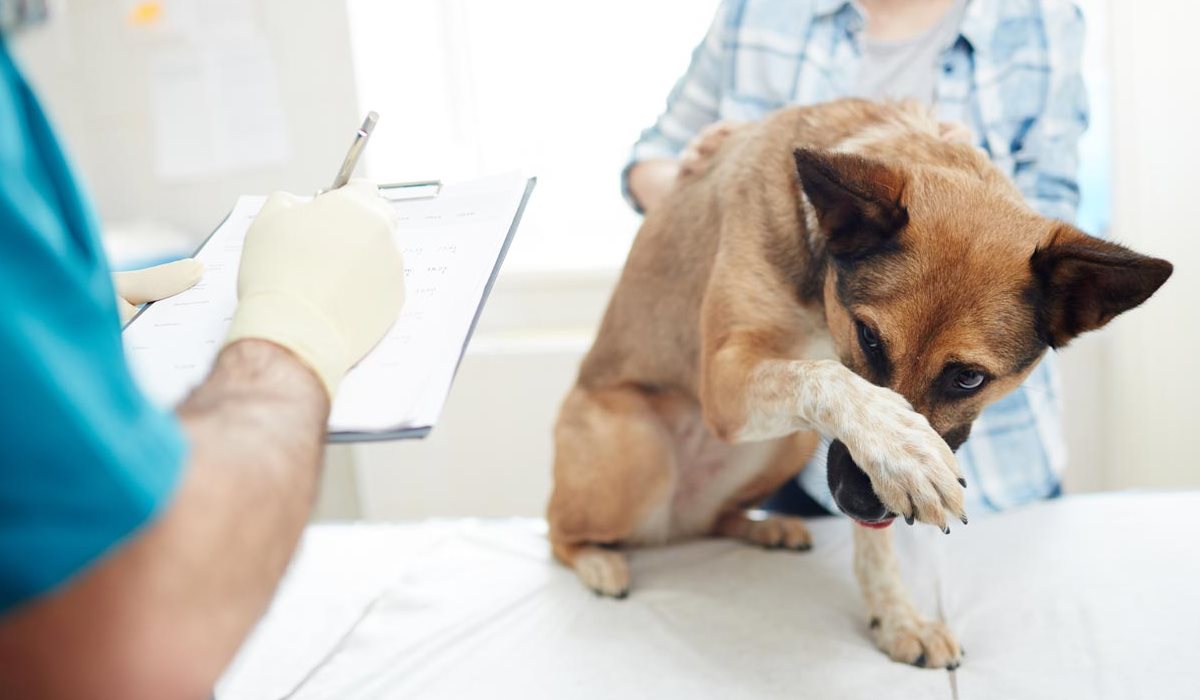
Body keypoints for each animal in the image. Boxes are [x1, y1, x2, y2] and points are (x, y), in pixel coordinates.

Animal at [549, 97, 1176, 667]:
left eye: (969, 378)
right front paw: (900, 448)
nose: (857, 501)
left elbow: (878, 545)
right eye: (869, 338)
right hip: (640, 451)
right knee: (558, 533)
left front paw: (897, 618)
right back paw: (599, 561)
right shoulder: (724, 383)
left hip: (786, 443)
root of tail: (672, 526)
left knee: (712, 520)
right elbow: (827, 378)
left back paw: (761, 528)